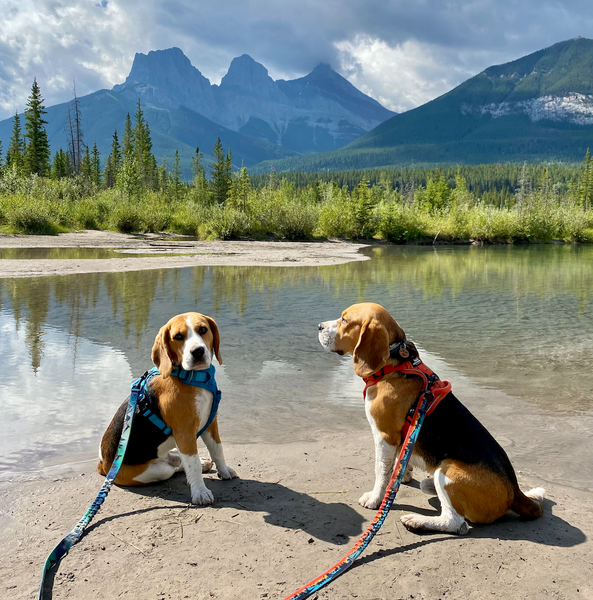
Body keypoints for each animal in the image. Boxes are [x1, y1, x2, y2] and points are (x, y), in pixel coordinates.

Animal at [96, 312, 237, 504]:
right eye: (178, 336)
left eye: (203, 330)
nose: (198, 351)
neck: (192, 376)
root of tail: (104, 464)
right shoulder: (185, 432)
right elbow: (192, 464)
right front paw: (200, 492)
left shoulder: (210, 423)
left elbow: (217, 450)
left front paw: (224, 470)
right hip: (159, 470)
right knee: (176, 466)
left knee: (177, 460)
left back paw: (203, 462)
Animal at [316, 304, 544, 536]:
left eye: (345, 320)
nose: (319, 326)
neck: (393, 364)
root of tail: (514, 491)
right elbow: (399, 459)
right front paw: (402, 475)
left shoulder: (384, 435)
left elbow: (381, 470)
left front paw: (375, 498)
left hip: (447, 471)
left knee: (455, 522)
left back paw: (417, 520)